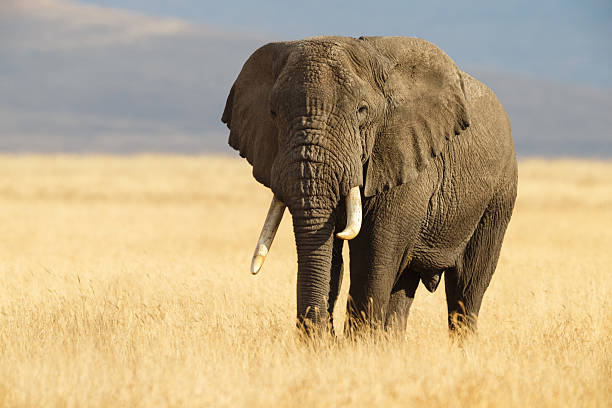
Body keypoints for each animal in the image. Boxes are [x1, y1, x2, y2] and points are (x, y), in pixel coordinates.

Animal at [220, 35, 516, 334]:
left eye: (361, 111)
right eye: (272, 113)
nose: (323, 335)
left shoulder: (407, 160)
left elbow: (374, 254)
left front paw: (359, 343)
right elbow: (331, 253)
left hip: (499, 197)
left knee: (467, 284)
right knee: (405, 286)